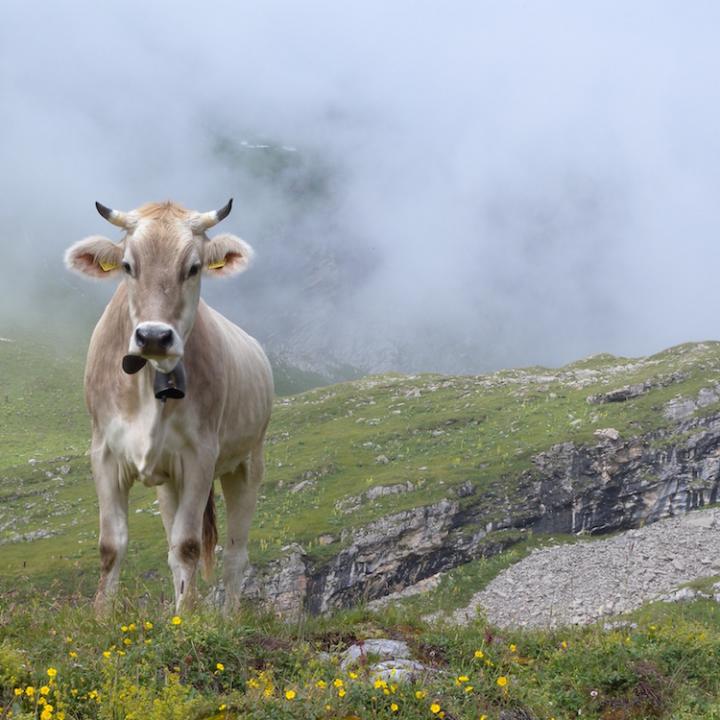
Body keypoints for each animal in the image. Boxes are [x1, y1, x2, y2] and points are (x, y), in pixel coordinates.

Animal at [64, 198, 274, 612]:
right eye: (128, 265)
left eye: (193, 267)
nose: (154, 336)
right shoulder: (104, 453)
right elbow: (111, 547)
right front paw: (101, 616)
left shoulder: (200, 456)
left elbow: (188, 546)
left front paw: (186, 619)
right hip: (168, 483)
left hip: (247, 462)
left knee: (234, 553)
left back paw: (229, 616)